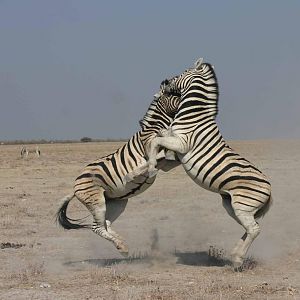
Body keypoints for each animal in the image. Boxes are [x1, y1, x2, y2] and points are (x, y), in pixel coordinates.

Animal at [55, 89, 180, 255]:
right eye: (176, 95)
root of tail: (74, 187)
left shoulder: (167, 163)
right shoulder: (151, 152)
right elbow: (151, 161)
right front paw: (133, 174)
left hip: (116, 203)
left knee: (106, 224)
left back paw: (121, 242)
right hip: (97, 203)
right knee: (96, 227)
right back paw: (121, 246)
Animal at [131, 58, 272, 270]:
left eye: (181, 73)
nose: (163, 81)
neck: (194, 116)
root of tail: (270, 189)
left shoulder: (181, 143)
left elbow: (156, 142)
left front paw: (150, 167)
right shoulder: (176, 149)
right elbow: (160, 149)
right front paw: (138, 171)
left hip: (243, 205)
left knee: (254, 229)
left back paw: (237, 260)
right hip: (233, 205)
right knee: (249, 228)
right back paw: (234, 256)